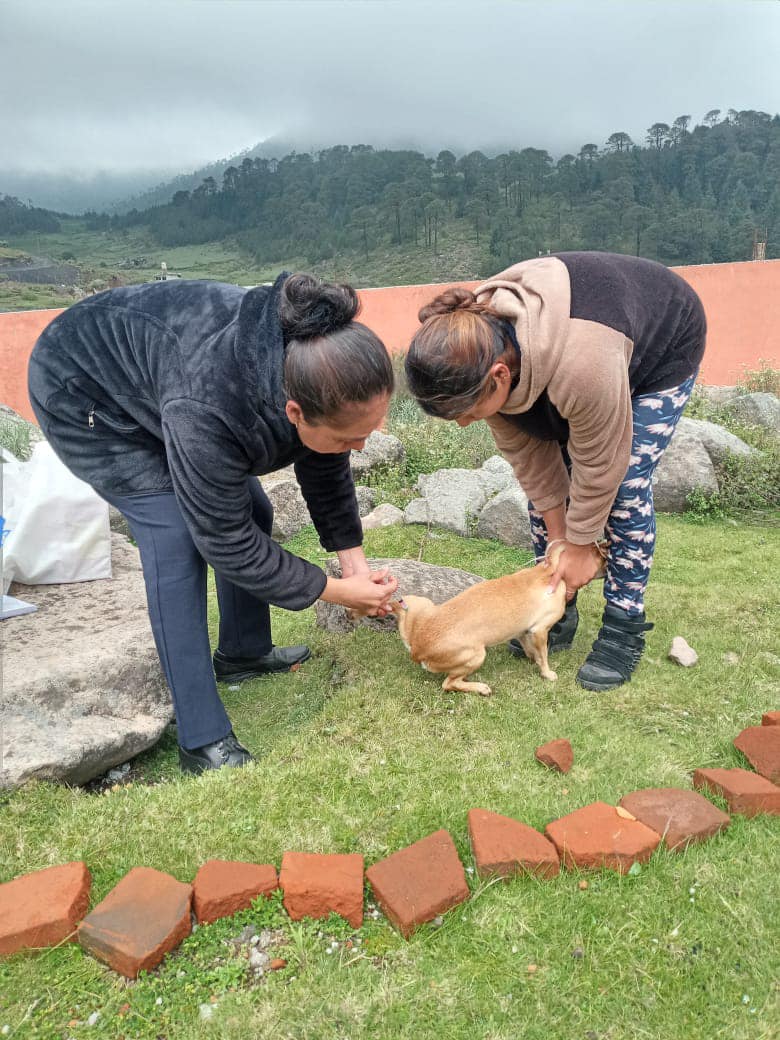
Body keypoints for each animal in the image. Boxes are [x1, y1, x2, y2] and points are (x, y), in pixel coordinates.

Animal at [393, 544, 607, 698]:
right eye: (602, 557)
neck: (549, 572)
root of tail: (417, 650)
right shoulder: (540, 630)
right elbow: (544, 655)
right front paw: (547, 673)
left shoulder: (523, 632)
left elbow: (532, 651)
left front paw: (533, 659)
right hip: (476, 654)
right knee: (449, 683)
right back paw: (480, 687)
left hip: (417, 603)